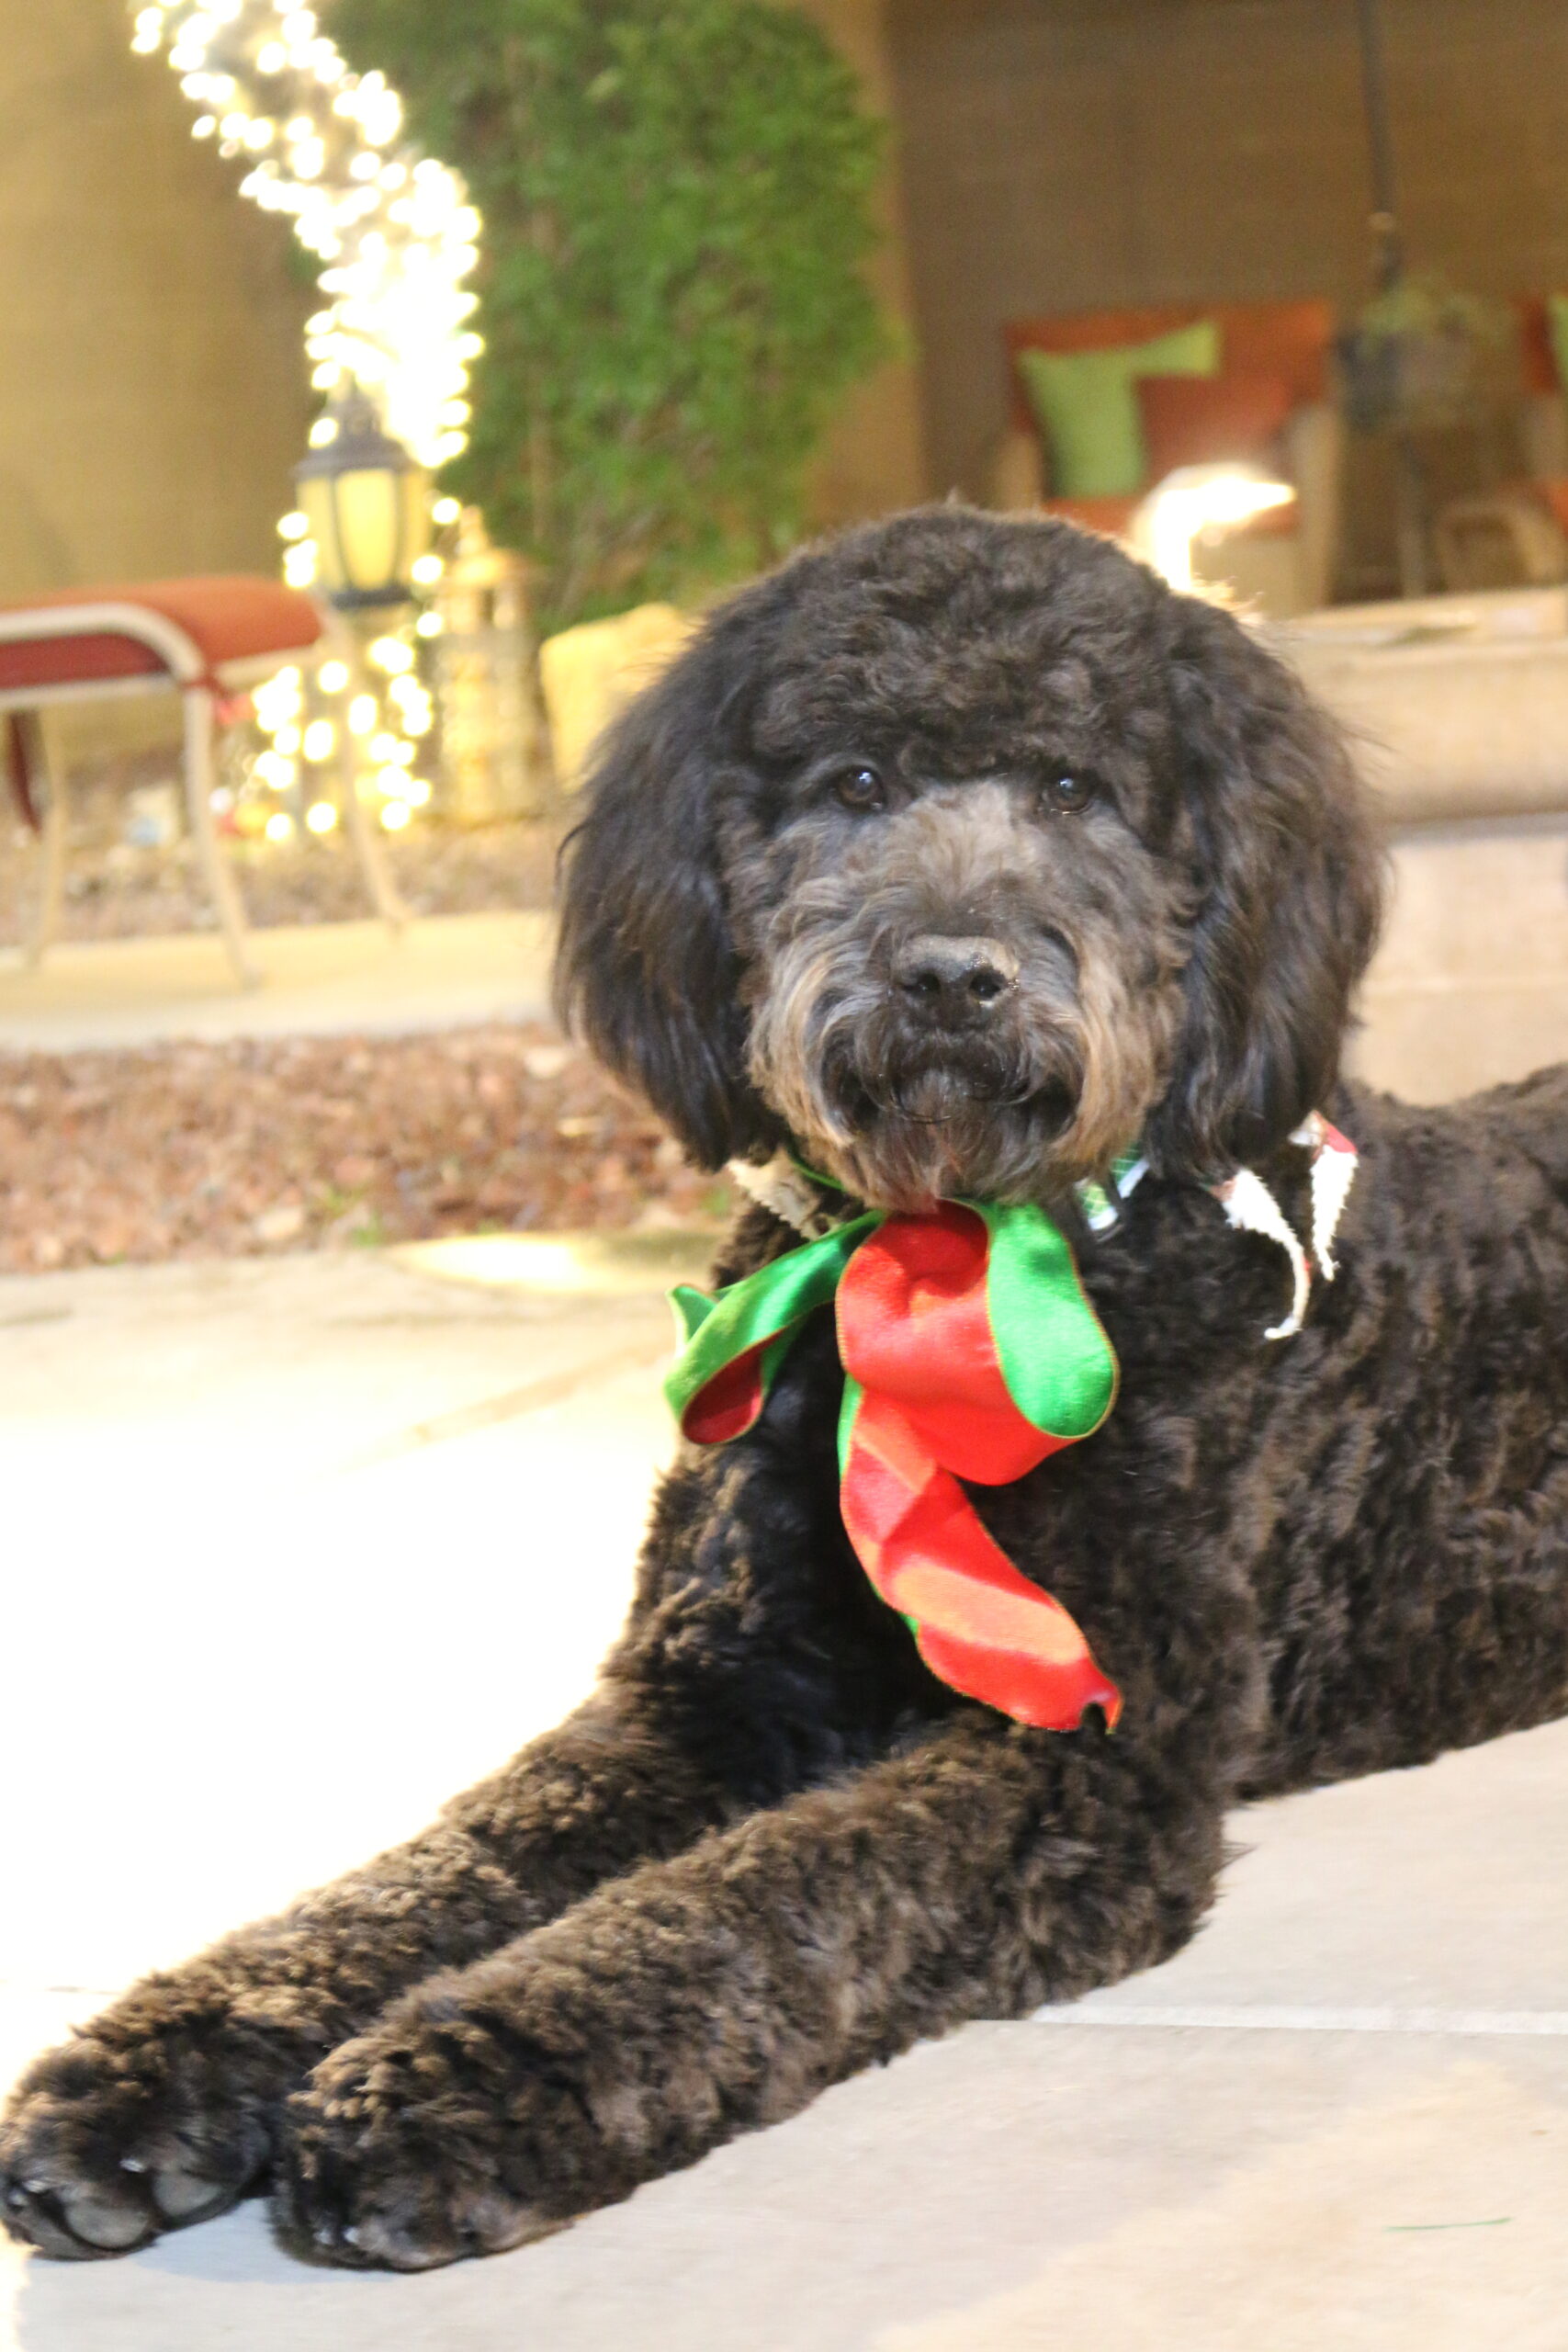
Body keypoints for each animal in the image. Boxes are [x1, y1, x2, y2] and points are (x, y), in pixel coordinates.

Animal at [4, 508, 1566, 2271]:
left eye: (1075, 787)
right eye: (857, 782)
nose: (950, 975)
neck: (951, 1257)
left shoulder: (1080, 1755)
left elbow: (748, 1903)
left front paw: (458, 2081)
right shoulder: (699, 1692)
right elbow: (432, 1867)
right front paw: (167, 2059)